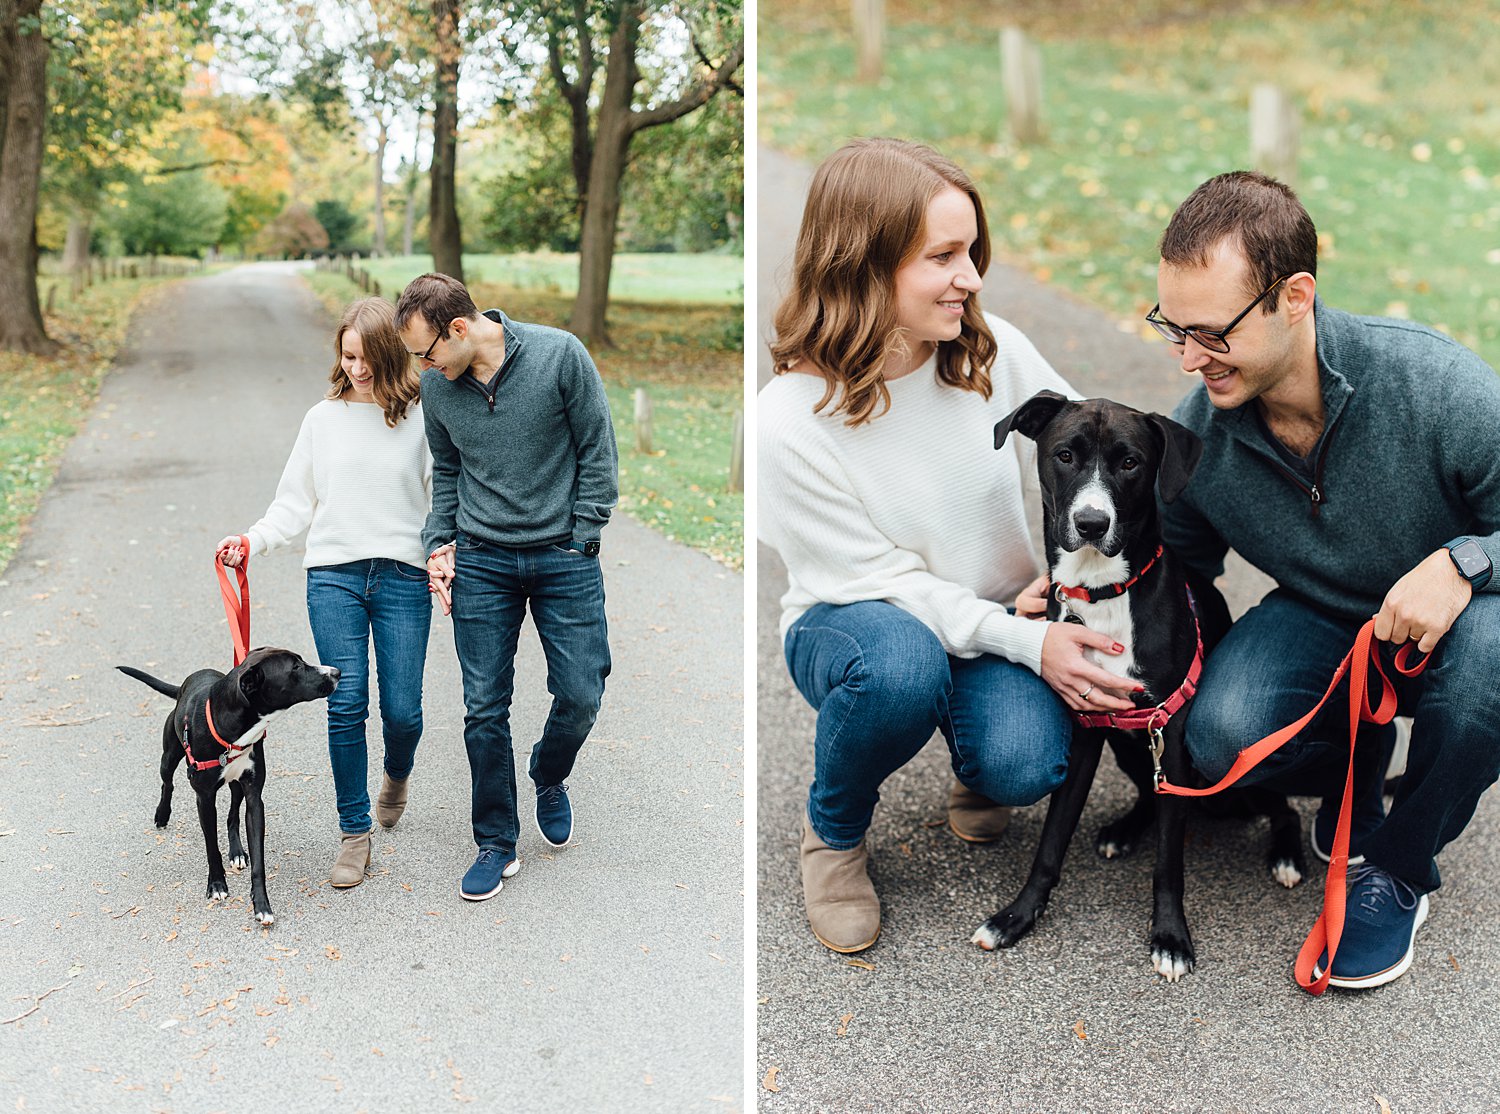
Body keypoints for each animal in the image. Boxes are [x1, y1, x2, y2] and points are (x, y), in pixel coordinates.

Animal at [117, 650, 340, 929]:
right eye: (296, 667)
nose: (337, 672)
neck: (233, 729)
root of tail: (184, 684)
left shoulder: (254, 797)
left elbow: (257, 860)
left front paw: (262, 905)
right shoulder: (204, 799)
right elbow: (211, 847)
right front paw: (216, 884)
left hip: (237, 786)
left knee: (232, 814)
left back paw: (237, 852)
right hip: (169, 757)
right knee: (167, 782)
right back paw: (162, 814)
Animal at [972, 386, 1302, 977]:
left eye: (1130, 463)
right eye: (1065, 455)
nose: (1091, 524)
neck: (1103, 594)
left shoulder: (1170, 735)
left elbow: (1169, 862)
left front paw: (1171, 938)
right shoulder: (1085, 733)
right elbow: (1050, 844)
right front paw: (1016, 916)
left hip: (1236, 764)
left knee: (1280, 805)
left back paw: (1287, 854)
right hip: (1130, 748)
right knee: (1152, 796)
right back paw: (1124, 831)